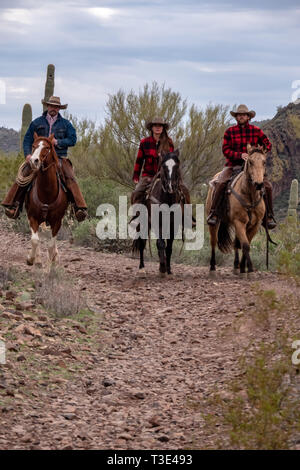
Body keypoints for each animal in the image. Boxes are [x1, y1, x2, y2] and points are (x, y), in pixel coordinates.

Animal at [24, 132, 68, 266]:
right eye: (33, 146)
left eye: (47, 147)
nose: (34, 160)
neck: (47, 193)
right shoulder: (32, 216)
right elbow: (35, 239)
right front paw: (31, 259)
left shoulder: (57, 221)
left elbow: (51, 246)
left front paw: (51, 265)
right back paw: (37, 260)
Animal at [206, 143, 268, 276]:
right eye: (250, 162)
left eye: (264, 162)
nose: (259, 184)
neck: (249, 195)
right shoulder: (239, 222)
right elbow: (245, 245)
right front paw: (250, 270)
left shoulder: (254, 225)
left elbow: (245, 244)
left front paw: (243, 268)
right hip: (214, 222)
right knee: (213, 242)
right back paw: (212, 268)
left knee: (235, 243)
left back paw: (235, 266)